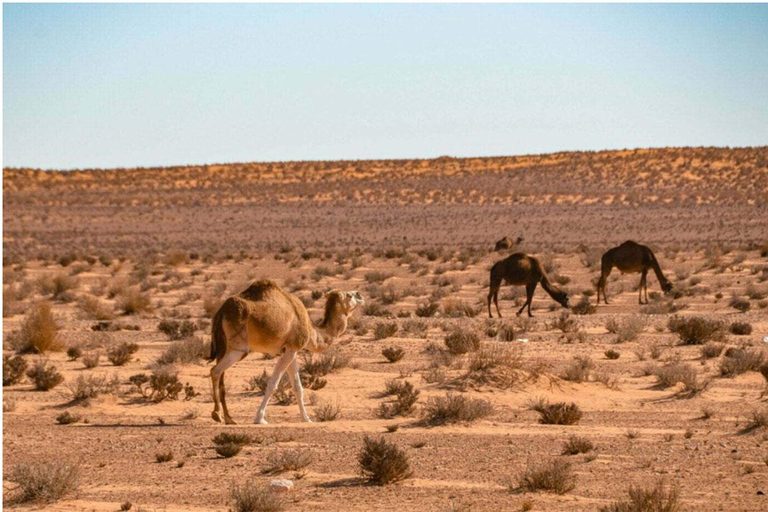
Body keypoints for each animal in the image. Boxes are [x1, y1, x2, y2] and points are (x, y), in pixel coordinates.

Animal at [207, 280, 364, 424]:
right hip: (239, 348)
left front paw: (306, 419)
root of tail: (221, 311)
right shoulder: (291, 349)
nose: (360, 295)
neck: (312, 332)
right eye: (349, 296)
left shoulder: (291, 351)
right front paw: (259, 418)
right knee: (215, 370)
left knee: (220, 375)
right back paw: (216, 414)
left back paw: (228, 418)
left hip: (224, 346)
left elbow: (297, 387)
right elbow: (272, 384)